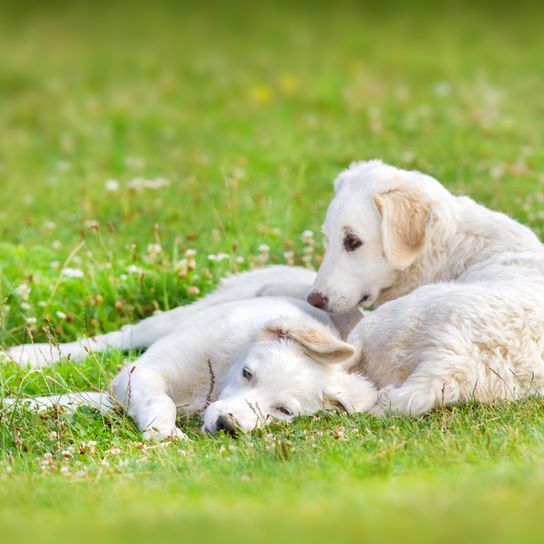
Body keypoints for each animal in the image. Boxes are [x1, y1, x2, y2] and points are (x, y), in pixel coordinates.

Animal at [7, 266, 374, 440]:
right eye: (248, 374)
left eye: (283, 411)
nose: (227, 425)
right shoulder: (141, 373)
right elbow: (161, 400)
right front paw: (164, 432)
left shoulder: (118, 392)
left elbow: (65, 401)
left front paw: (16, 405)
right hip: (178, 317)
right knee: (119, 336)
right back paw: (26, 355)